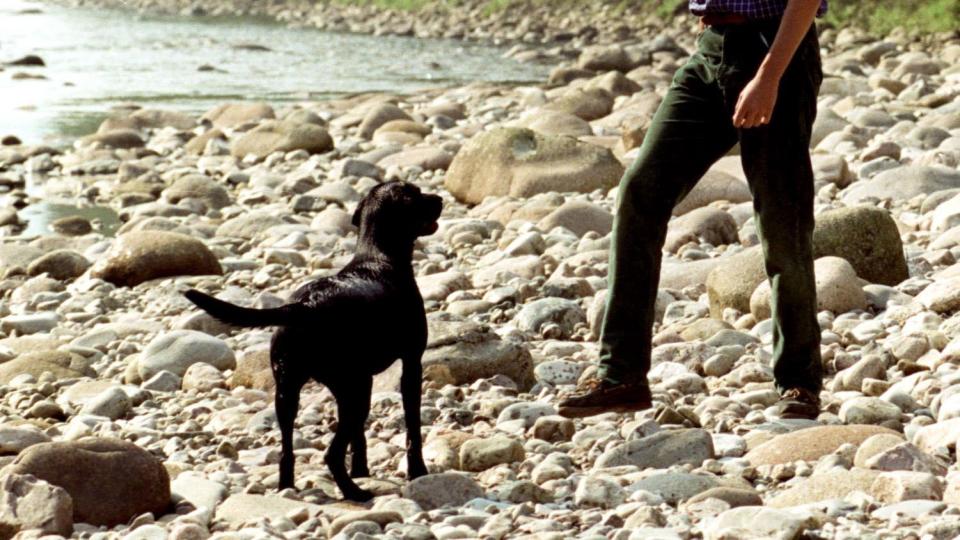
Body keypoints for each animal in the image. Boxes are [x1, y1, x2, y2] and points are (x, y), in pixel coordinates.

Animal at [184, 181, 442, 502]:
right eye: (416, 194)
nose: (440, 199)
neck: (378, 256)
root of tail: (306, 305)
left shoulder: (362, 381)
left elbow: (359, 438)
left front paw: (361, 469)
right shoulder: (411, 364)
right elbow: (412, 428)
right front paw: (417, 471)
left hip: (291, 392)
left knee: (287, 450)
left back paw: (289, 488)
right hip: (353, 391)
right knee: (331, 454)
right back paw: (355, 492)